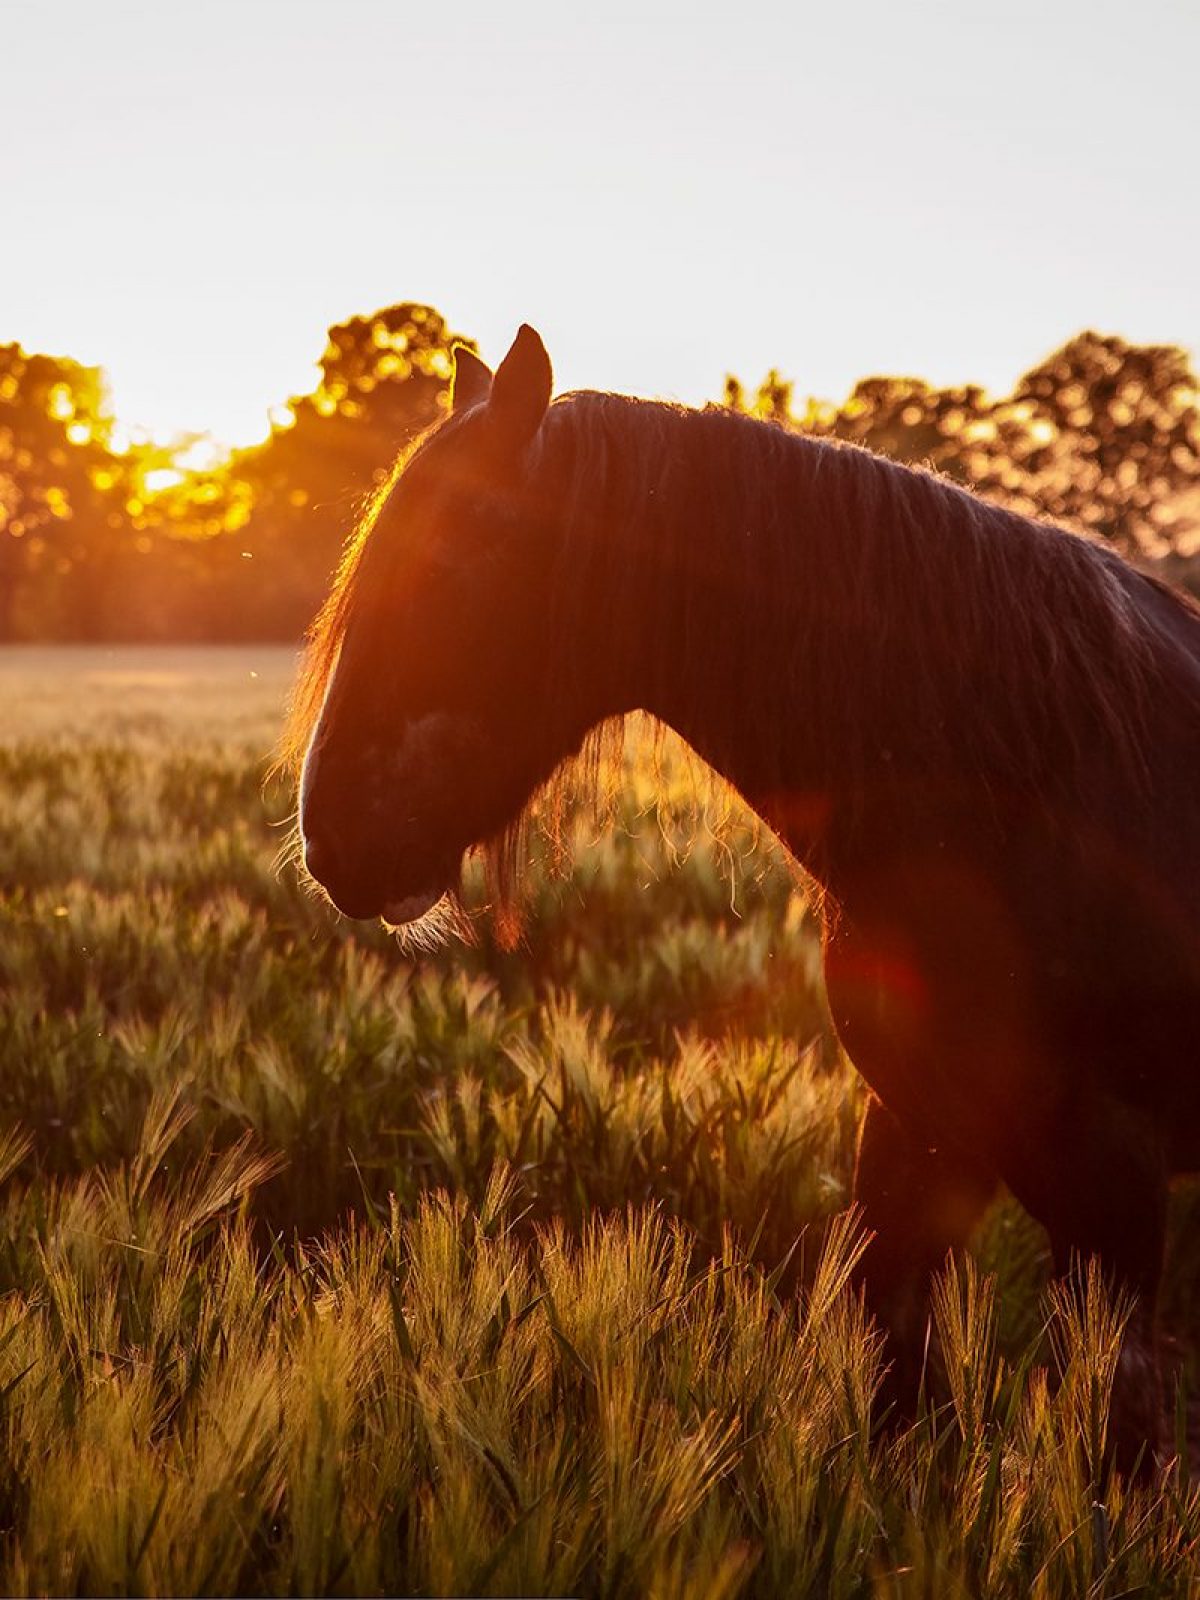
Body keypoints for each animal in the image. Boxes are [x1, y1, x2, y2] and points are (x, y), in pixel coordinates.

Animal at [289, 328, 1200, 1472]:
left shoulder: (1112, 1186)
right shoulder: (917, 1136)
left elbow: (1117, 1440)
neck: (1032, 794)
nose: (333, 837)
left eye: (454, 567)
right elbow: (894, 1390)